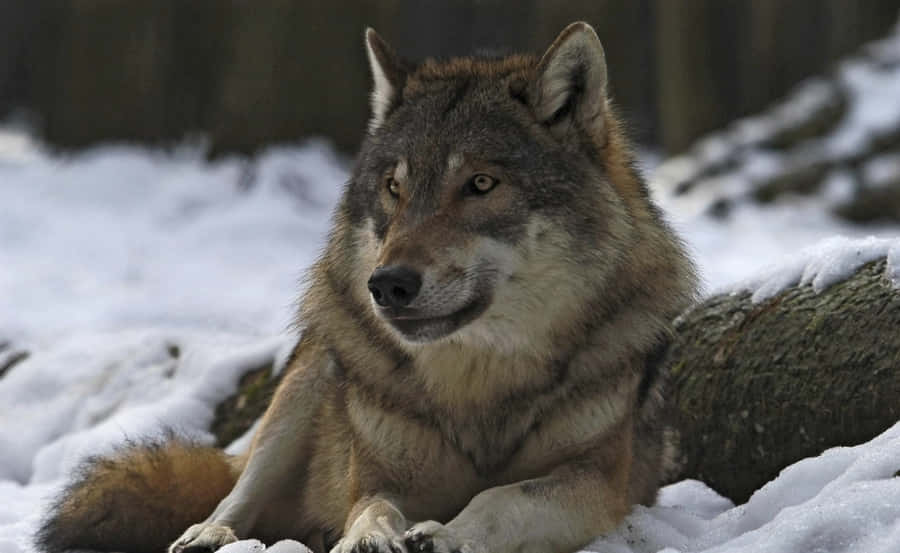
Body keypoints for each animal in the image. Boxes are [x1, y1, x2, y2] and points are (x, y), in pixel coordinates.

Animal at [36, 22, 696, 553]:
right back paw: (206, 536)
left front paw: (446, 536)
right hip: (312, 378)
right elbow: (371, 506)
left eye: (481, 184)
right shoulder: (378, 473)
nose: (388, 284)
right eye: (394, 188)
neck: (477, 387)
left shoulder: (598, 483)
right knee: (234, 494)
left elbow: (501, 498)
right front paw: (370, 538)